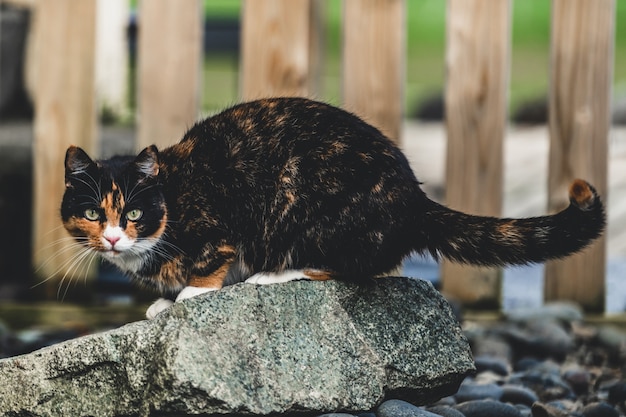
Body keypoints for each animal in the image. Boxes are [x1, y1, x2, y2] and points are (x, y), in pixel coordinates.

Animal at [61, 98, 604, 318]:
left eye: (133, 214)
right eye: (93, 215)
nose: (113, 237)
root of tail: (413, 199)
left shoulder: (219, 226)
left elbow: (214, 260)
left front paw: (189, 294)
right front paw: (164, 301)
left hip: (308, 202)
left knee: (355, 267)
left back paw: (274, 274)